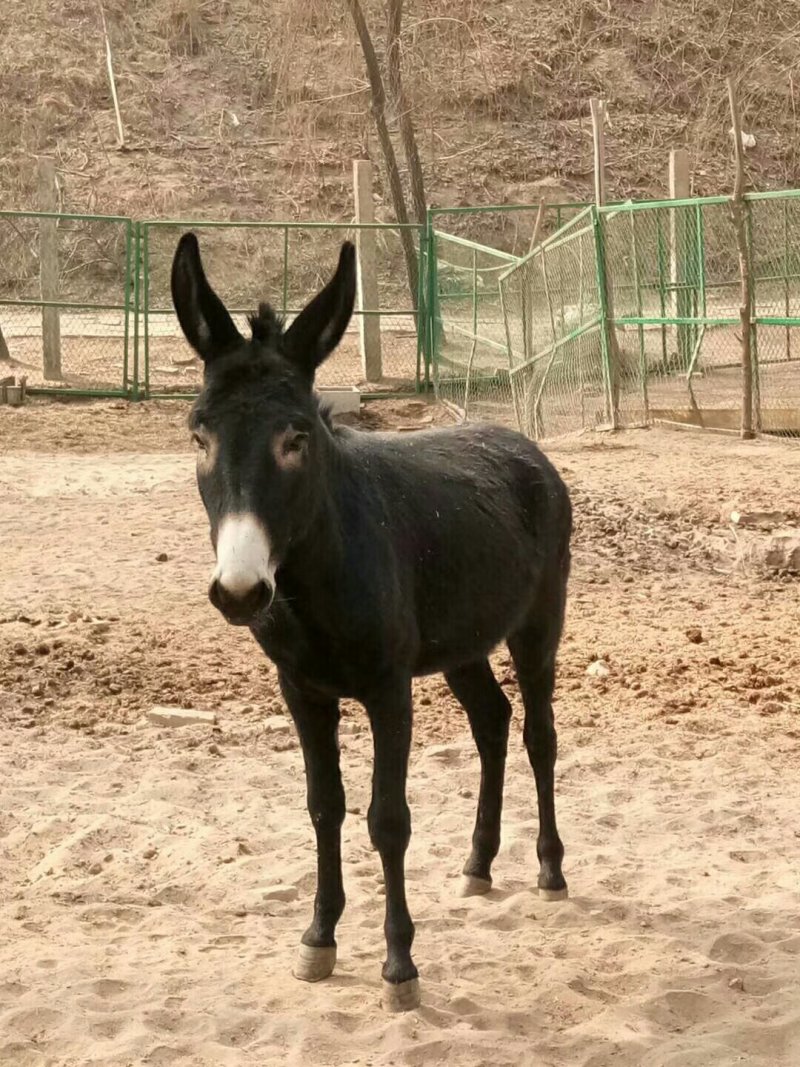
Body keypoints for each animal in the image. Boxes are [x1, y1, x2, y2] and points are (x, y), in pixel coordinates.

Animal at [170, 233, 573, 1012]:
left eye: (296, 439)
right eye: (199, 436)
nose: (240, 592)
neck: (313, 581)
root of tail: (522, 442)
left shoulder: (390, 689)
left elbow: (388, 819)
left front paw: (399, 964)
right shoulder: (303, 690)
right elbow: (324, 806)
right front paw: (318, 939)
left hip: (538, 625)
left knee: (539, 734)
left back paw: (549, 870)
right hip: (461, 644)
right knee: (493, 722)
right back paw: (479, 863)